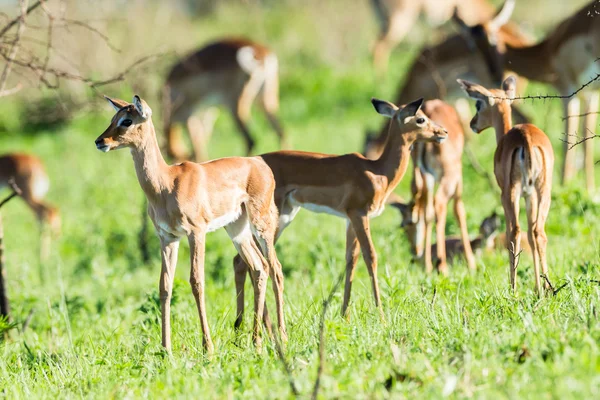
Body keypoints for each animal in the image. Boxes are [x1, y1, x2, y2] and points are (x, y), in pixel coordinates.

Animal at [95, 95, 288, 352]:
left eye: (127, 120)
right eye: (112, 118)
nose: (100, 141)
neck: (166, 184)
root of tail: (260, 164)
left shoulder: (196, 232)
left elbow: (197, 282)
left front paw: (208, 348)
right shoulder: (167, 238)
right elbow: (164, 286)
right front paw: (166, 348)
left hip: (262, 224)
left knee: (276, 268)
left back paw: (282, 337)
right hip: (237, 230)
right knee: (260, 268)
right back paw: (256, 341)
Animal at [232, 97, 448, 324]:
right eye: (420, 118)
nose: (443, 132)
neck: (378, 173)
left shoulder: (349, 219)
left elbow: (350, 259)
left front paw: (345, 314)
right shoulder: (360, 214)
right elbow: (371, 257)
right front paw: (381, 315)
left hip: (283, 216)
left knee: (242, 261)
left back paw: (243, 326)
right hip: (272, 221)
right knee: (250, 263)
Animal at [366, 100, 474, 276]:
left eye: (405, 224)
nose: (415, 252)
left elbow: (427, 213)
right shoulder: (458, 177)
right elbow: (459, 211)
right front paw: (471, 263)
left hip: (424, 175)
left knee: (429, 209)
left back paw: (431, 264)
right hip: (447, 177)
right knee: (439, 204)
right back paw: (442, 266)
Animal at [460, 0, 600, 191]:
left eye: (493, 40)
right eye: (473, 47)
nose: (495, 74)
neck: (547, 52)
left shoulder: (567, 91)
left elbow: (568, 141)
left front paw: (565, 186)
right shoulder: (590, 94)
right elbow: (587, 142)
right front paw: (589, 189)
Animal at [462, 76, 556, 294]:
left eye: (478, 104)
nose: (472, 123)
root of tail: (526, 140)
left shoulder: (506, 194)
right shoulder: (529, 196)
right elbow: (531, 233)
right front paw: (538, 287)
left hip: (510, 194)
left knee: (514, 232)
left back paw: (513, 290)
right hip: (543, 191)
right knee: (538, 232)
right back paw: (548, 288)